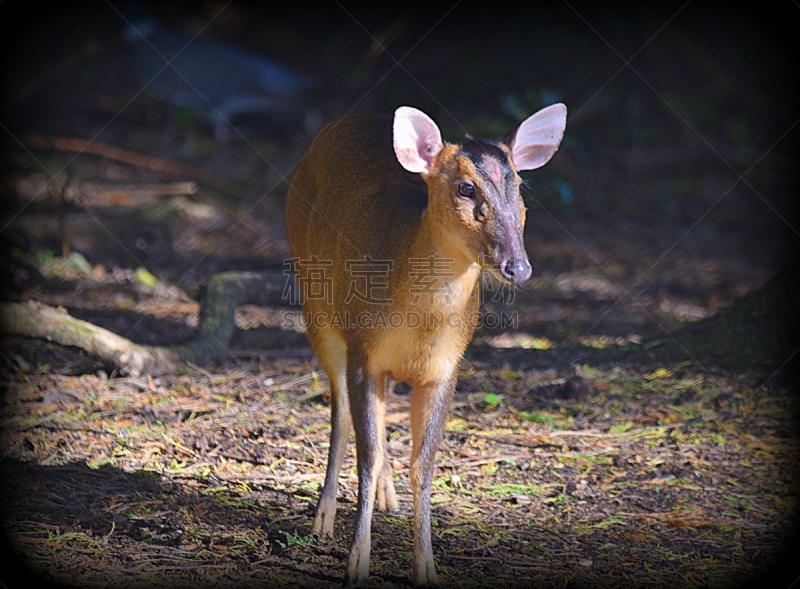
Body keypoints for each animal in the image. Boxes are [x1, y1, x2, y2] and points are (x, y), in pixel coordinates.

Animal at [284, 102, 564, 584]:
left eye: (519, 184)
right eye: (466, 187)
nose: (518, 266)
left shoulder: (445, 369)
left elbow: (424, 463)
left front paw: (426, 567)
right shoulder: (363, 353)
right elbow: (367, 453)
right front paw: (356, 564)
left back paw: (387, 498)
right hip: (316, 307)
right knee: (340, 410)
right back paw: (323, 518)